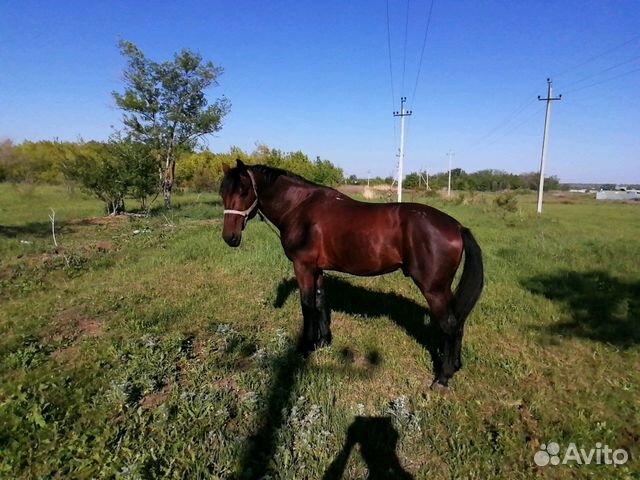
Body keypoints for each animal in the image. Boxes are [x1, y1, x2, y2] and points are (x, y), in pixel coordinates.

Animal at [221, 159, 484, 388]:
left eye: (244, 191)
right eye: (223, 192)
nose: (229, 238)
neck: (300, 207)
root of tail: (457, 227)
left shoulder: (303, 266)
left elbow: (307, 305)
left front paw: (305, 347)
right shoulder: (317, 269)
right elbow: (321, 302)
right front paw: (323, 342)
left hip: (433, 289)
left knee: (449, 324)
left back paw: (443, 378)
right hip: (443, 289)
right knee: (458, 321)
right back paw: (455, 366)